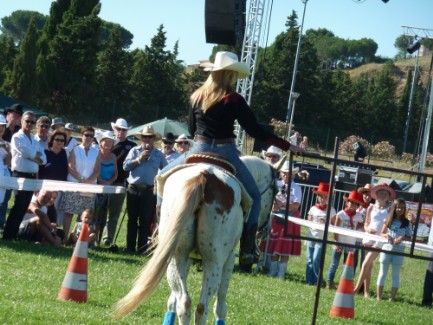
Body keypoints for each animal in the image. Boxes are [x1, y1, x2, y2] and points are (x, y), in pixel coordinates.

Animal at [113, 156, 276, 322]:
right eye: (275, 191)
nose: (266, 229)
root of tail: (202, 176)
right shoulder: (229, 260)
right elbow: (220, 307)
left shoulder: (187, 258)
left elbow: (172, 301)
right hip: (213, 262)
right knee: (202, 306)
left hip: (176, 257)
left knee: (184, 302)